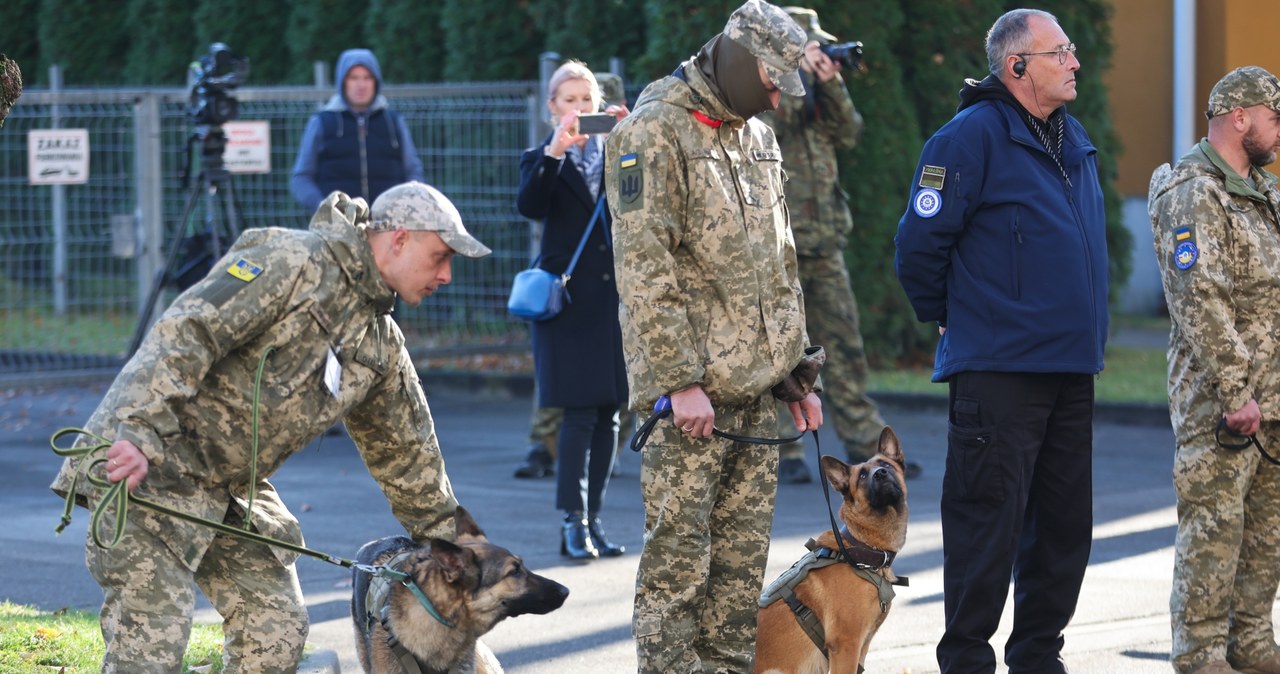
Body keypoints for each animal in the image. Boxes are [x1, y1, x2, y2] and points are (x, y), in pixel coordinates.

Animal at [752, 427, 906, 674]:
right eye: (862, 476)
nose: (881, 474)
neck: (861, 548)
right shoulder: (846, 646)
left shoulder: (860, 648)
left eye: (886, 465)